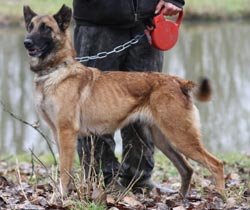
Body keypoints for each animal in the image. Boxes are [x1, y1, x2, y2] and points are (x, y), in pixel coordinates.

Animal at [22, 4, 224, 195]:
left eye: (46, 28)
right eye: (30, 27)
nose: (27, 42)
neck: (55, 70)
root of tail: (178, 81)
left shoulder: (66, 133)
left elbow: (64, 171)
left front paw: (61, 197)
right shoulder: (59, 134)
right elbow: (65, 170)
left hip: (181, 137)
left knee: (216, 164)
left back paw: (222, 199)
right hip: (164, 140)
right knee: (187, 169)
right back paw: (181, 198)